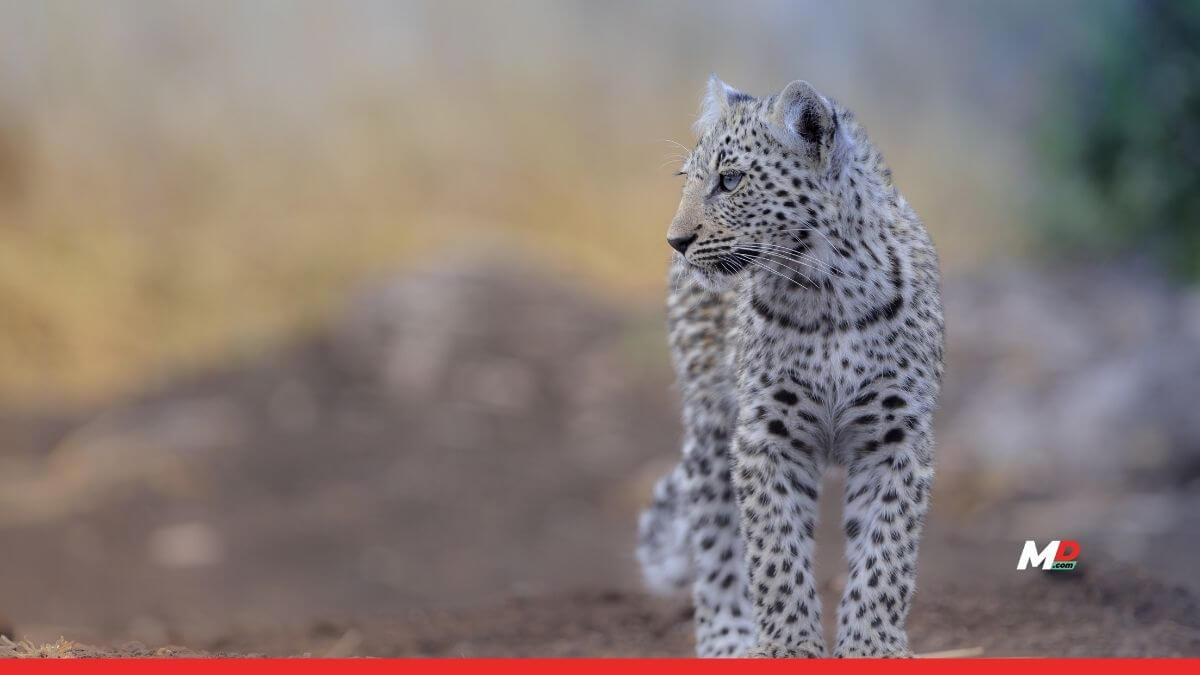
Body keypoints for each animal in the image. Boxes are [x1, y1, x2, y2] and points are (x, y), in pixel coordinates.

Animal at [636, 77, 944, 658]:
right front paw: (788, 648)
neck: (826, 290)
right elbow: (775, 550)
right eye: (688, 181)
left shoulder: (896, 434)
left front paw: (872, 647)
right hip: (710, 419)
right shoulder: (766, 433)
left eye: (731, 180)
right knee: (713, 527)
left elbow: (886, 548)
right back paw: (727, 639)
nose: (675, 241)